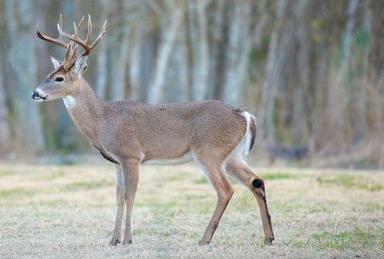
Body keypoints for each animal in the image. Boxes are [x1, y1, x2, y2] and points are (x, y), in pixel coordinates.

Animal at [32, 15, 272, 247]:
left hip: (209, 152)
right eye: (48, 74)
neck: (103, 119)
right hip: (233, 155)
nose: (35, 93)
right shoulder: (117, 161)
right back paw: (268, 237)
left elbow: (130, 196)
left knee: (226, 189)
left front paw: (127, 240)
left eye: (59, 78)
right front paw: (113, 239)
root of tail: (245, 115)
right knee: (256, 182)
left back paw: (205, 239)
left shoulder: (131, 155)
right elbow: (118, 197)